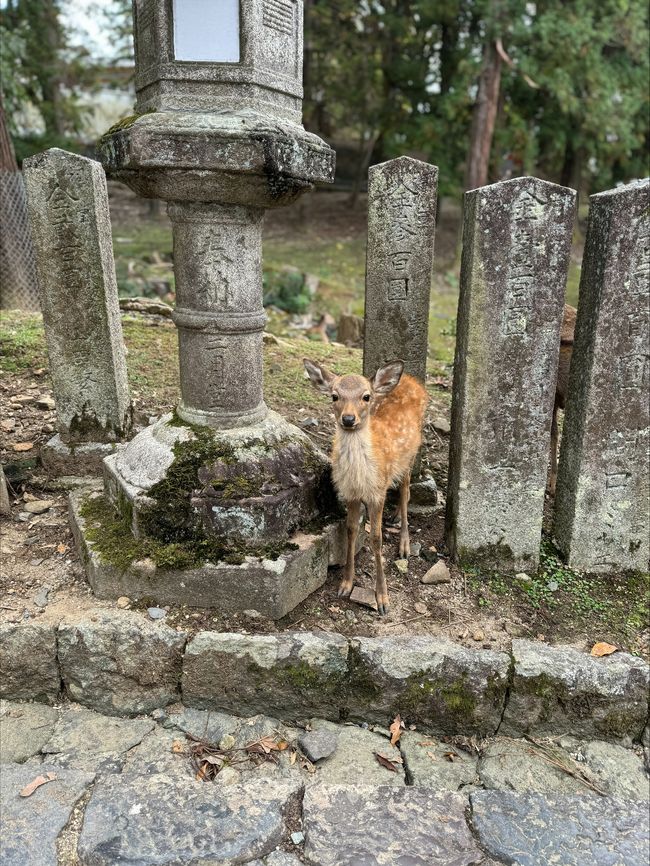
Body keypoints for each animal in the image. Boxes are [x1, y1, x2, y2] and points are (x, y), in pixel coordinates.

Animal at [302, 358, 428, 616]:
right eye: (334, 396)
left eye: (366, 396)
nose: (349, 419)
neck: (360, 476)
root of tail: (411, 380)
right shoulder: (350, 493)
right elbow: (351, 530)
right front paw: (345, 584)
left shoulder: (377, 492)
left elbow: (376, 539)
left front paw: (382, 599)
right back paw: (395, 517)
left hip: (411, 454)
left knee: (406, 491)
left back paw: (404, 544)